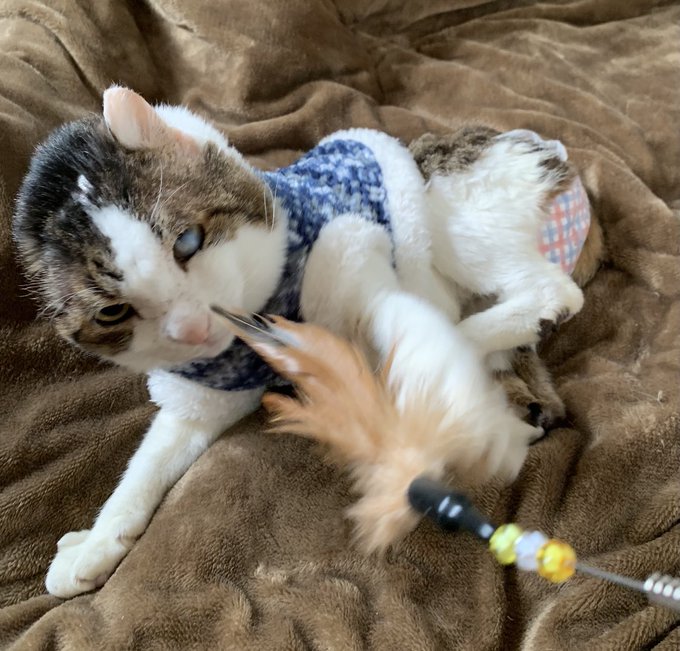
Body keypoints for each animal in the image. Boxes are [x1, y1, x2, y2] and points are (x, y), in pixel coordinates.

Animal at [14, 86, 592, 598]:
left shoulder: (350, 241)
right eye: (113, 312)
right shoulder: (203, 395)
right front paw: (96, 542)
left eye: (188, 242)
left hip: (457, 219)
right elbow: (147, 465)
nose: (193, 328)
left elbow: (389, 311)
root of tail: (549, 151)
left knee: (549, 292)